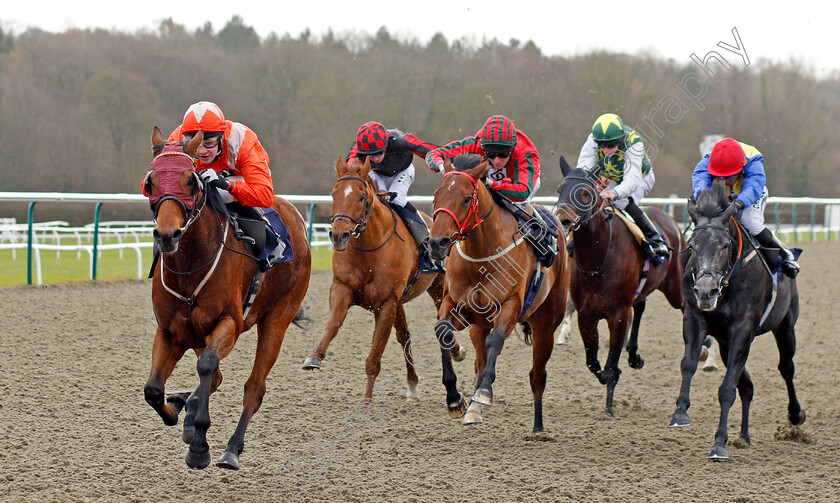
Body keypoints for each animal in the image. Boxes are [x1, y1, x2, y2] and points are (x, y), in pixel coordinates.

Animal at [143, 127, 310, 472]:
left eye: (191, 180)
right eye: (150, 181)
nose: (167, 235)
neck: (189, 266)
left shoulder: (229, 323)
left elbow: (208, 366)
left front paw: (199, 446)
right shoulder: (170, 331)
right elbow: (153, 389)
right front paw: (178, 410)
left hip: (277, 319)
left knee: (253, 388)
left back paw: (231, 449)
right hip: (196, 334)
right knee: (215, 377)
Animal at [300, 159, 462, 404]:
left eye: (361, 197)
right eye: (333, 194)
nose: (338, 236)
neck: (369, 248)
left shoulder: (386, 303)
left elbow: (375, 355)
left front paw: (367, 401)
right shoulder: (343, 288)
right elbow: (334, 323)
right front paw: (314, 357)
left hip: (437, 285)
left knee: (443, 317)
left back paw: (457, 351)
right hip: (400, 301)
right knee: (404, 336)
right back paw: (412, 383)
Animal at [426, 157, 572, 434]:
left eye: (466, 198)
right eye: (436, 195)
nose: (437, 243)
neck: (481, 256)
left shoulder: (510, 305)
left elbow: (496, 341)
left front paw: (483, 394)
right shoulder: (457, 305)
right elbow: (442, 331)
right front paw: (455, 399)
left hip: (546, 322)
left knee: (537, 375)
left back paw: (537, 428)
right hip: (478, 326)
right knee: (480, 361)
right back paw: (473, 409)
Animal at [556, 160, 684, 418]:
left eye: (585, 193)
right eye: (559, 189)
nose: (562, 220)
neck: (598, 259)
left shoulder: (618, 314)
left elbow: (610, 364)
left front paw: (609, 407)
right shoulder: (587, 314)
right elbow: (592, 362)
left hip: (675, 288)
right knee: (641, 307)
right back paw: (634, 356)